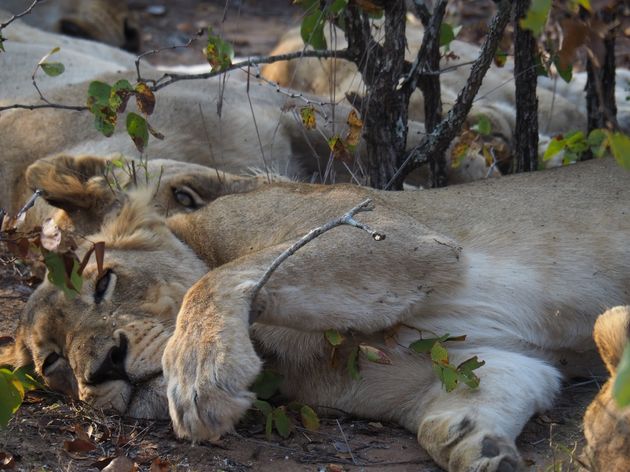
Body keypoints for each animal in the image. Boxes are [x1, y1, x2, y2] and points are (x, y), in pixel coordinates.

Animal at [1, 159, 630, 472]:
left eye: (103, 281)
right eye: (53, 363)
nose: (103, 367)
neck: (273, 345)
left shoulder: (393, 232)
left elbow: (221, 277)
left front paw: (201, 370)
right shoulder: (474, 360)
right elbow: (456, 413)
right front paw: (482, 447)